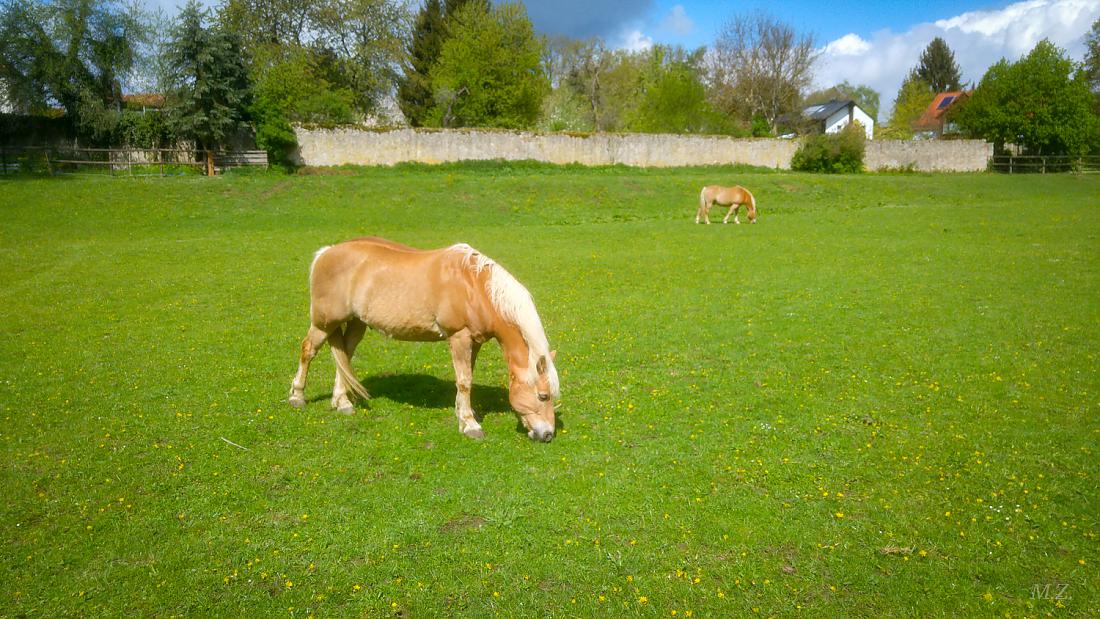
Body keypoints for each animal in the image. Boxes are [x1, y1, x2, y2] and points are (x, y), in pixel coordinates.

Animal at [288, 235, 558, 444]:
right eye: (543, 396)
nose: (547, 435)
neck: (475, 286)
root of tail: (325, 253)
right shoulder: (459, 337)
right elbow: (464, 381)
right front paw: (469, 424)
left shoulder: (475, 341)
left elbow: (466, 376)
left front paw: (463, 412)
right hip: (323, 323)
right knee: (308, 350)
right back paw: (297, 397)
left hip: (355, 323)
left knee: (344, 356)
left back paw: (342, 402)